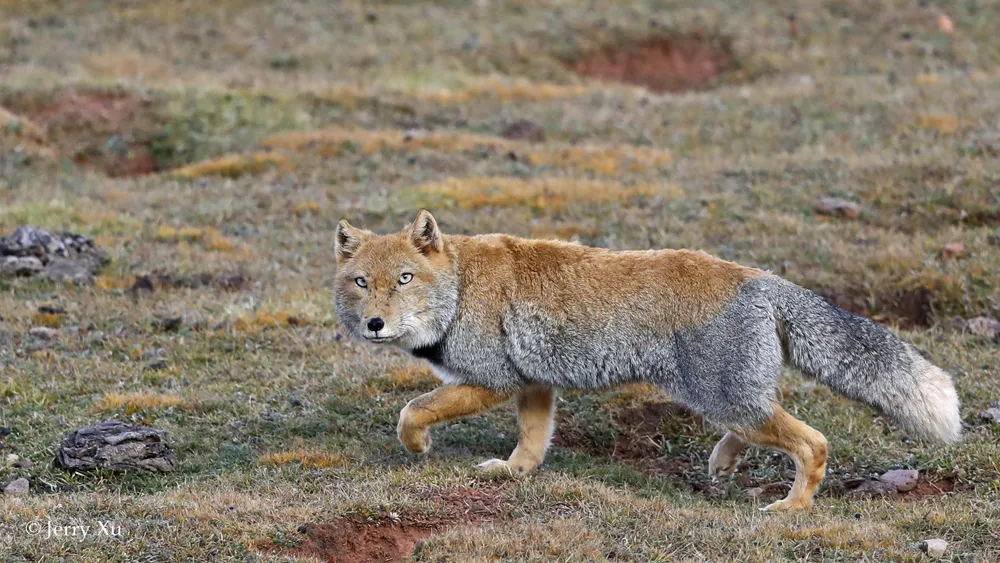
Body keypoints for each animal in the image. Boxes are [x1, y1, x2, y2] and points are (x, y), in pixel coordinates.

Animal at [334, 210, 960, 512]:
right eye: (362, 283)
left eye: (404, 280)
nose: (374, 325)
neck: (460, 289)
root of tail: (756, 276)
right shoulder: (534, 384)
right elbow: (532, 443)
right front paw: (514, 473)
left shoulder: (491, 381)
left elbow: (413, 410)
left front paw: (418, 447)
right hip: (733, 400)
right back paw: (725, 462)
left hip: (726, 398)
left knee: (813, 442)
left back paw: (792, 507)